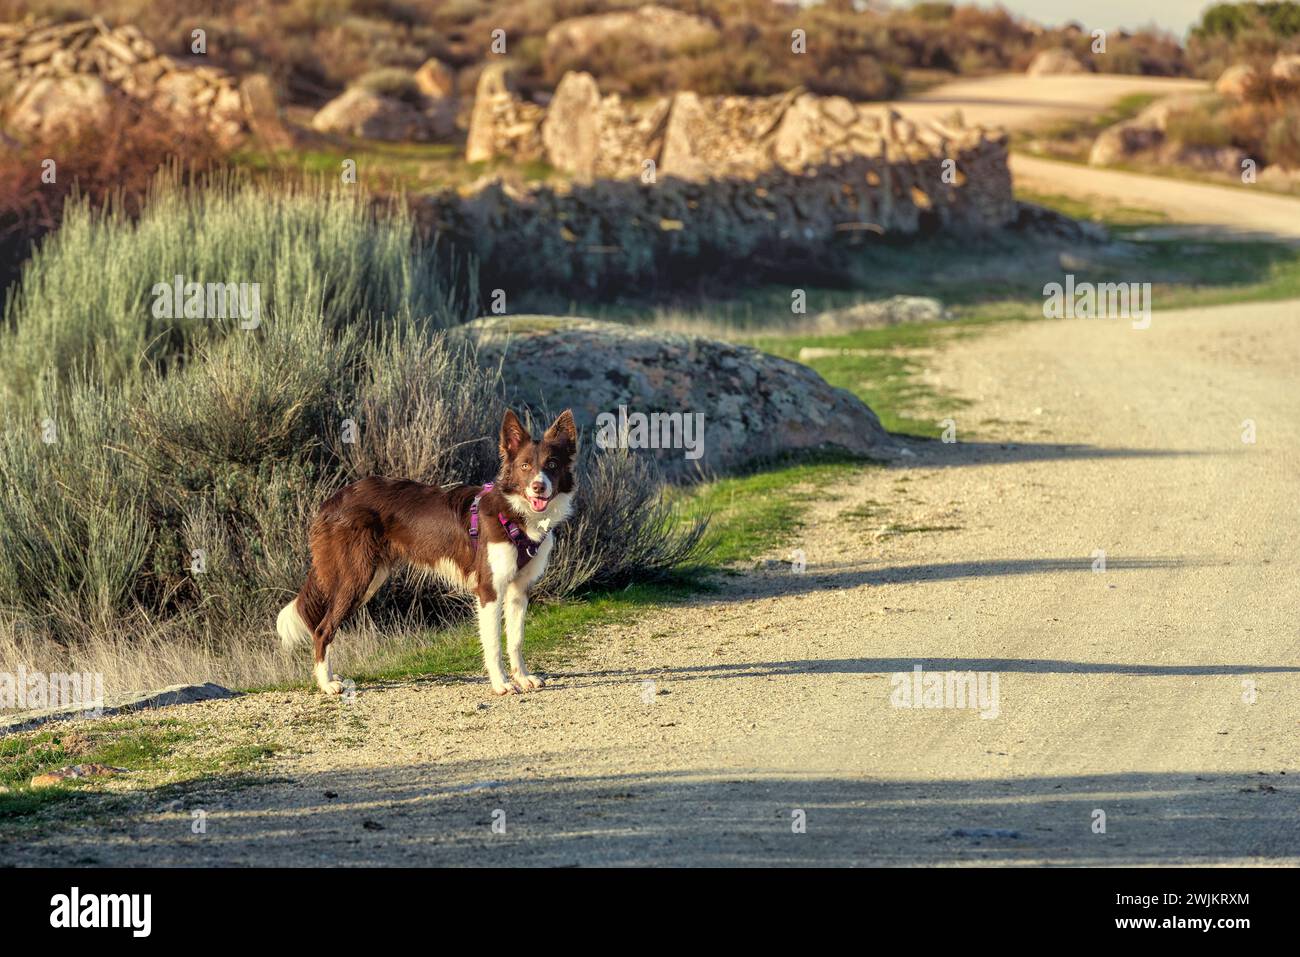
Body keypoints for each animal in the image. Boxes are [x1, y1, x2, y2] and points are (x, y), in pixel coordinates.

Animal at [279, 408, 579, 696]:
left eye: (552, 465)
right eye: (525, 466)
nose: (538, 487)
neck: (515, 512)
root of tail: (331, 501)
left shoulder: (519, 588)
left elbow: (516, 639)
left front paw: (523, 678)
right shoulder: (489, 589)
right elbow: (493, 643)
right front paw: (501, 684)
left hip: (372, 577)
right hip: (356, 577)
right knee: (322, 629)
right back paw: (327, 683)